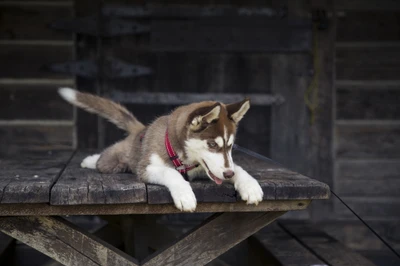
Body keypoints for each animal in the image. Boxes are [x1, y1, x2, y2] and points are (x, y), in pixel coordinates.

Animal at [58, 88, 262, 211]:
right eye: (212, 144)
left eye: (230, 146)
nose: (228, 174)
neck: (183, 158)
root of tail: (141, 130)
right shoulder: (146, 168)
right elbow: (171, 173)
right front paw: (185, 195)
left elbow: (239, 168)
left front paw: (250, 186)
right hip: (114, 162)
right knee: (106, 158)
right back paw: (91, 159)